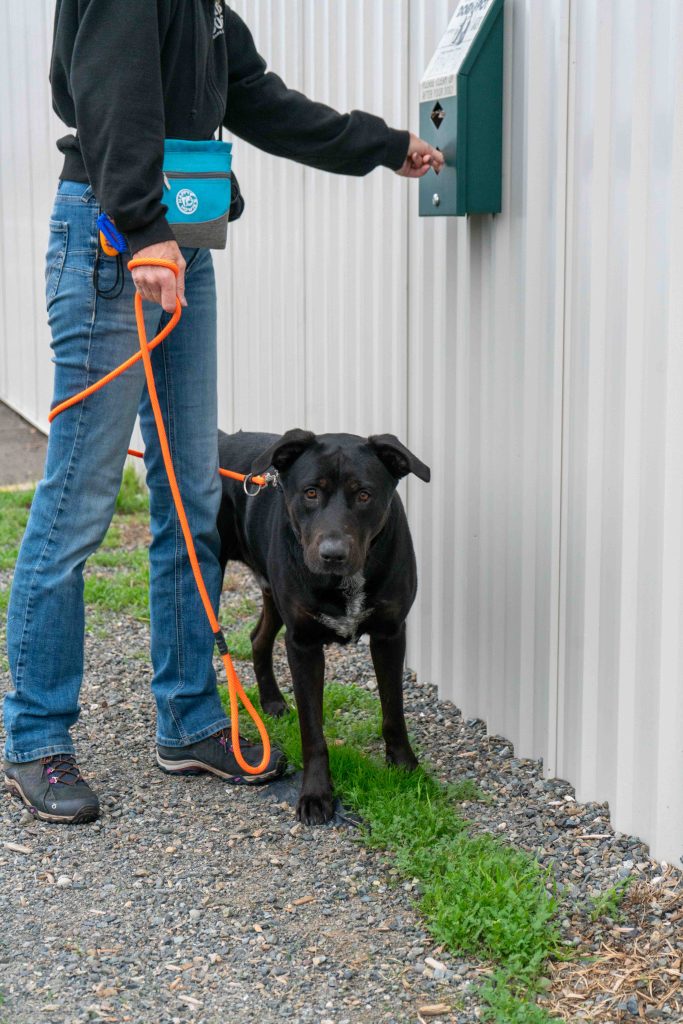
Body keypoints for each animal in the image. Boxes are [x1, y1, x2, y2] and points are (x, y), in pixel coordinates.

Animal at [216, 428, 431, 824]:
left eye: (364, 494)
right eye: (311, 492)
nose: (332, 554)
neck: (345, 582)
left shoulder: (390, 634)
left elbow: (393, 710)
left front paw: (405, 767)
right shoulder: (303, 643)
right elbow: (312, 731)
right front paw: (316, 794)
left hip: (272, 592)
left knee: (257, 638)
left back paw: (271, 700)